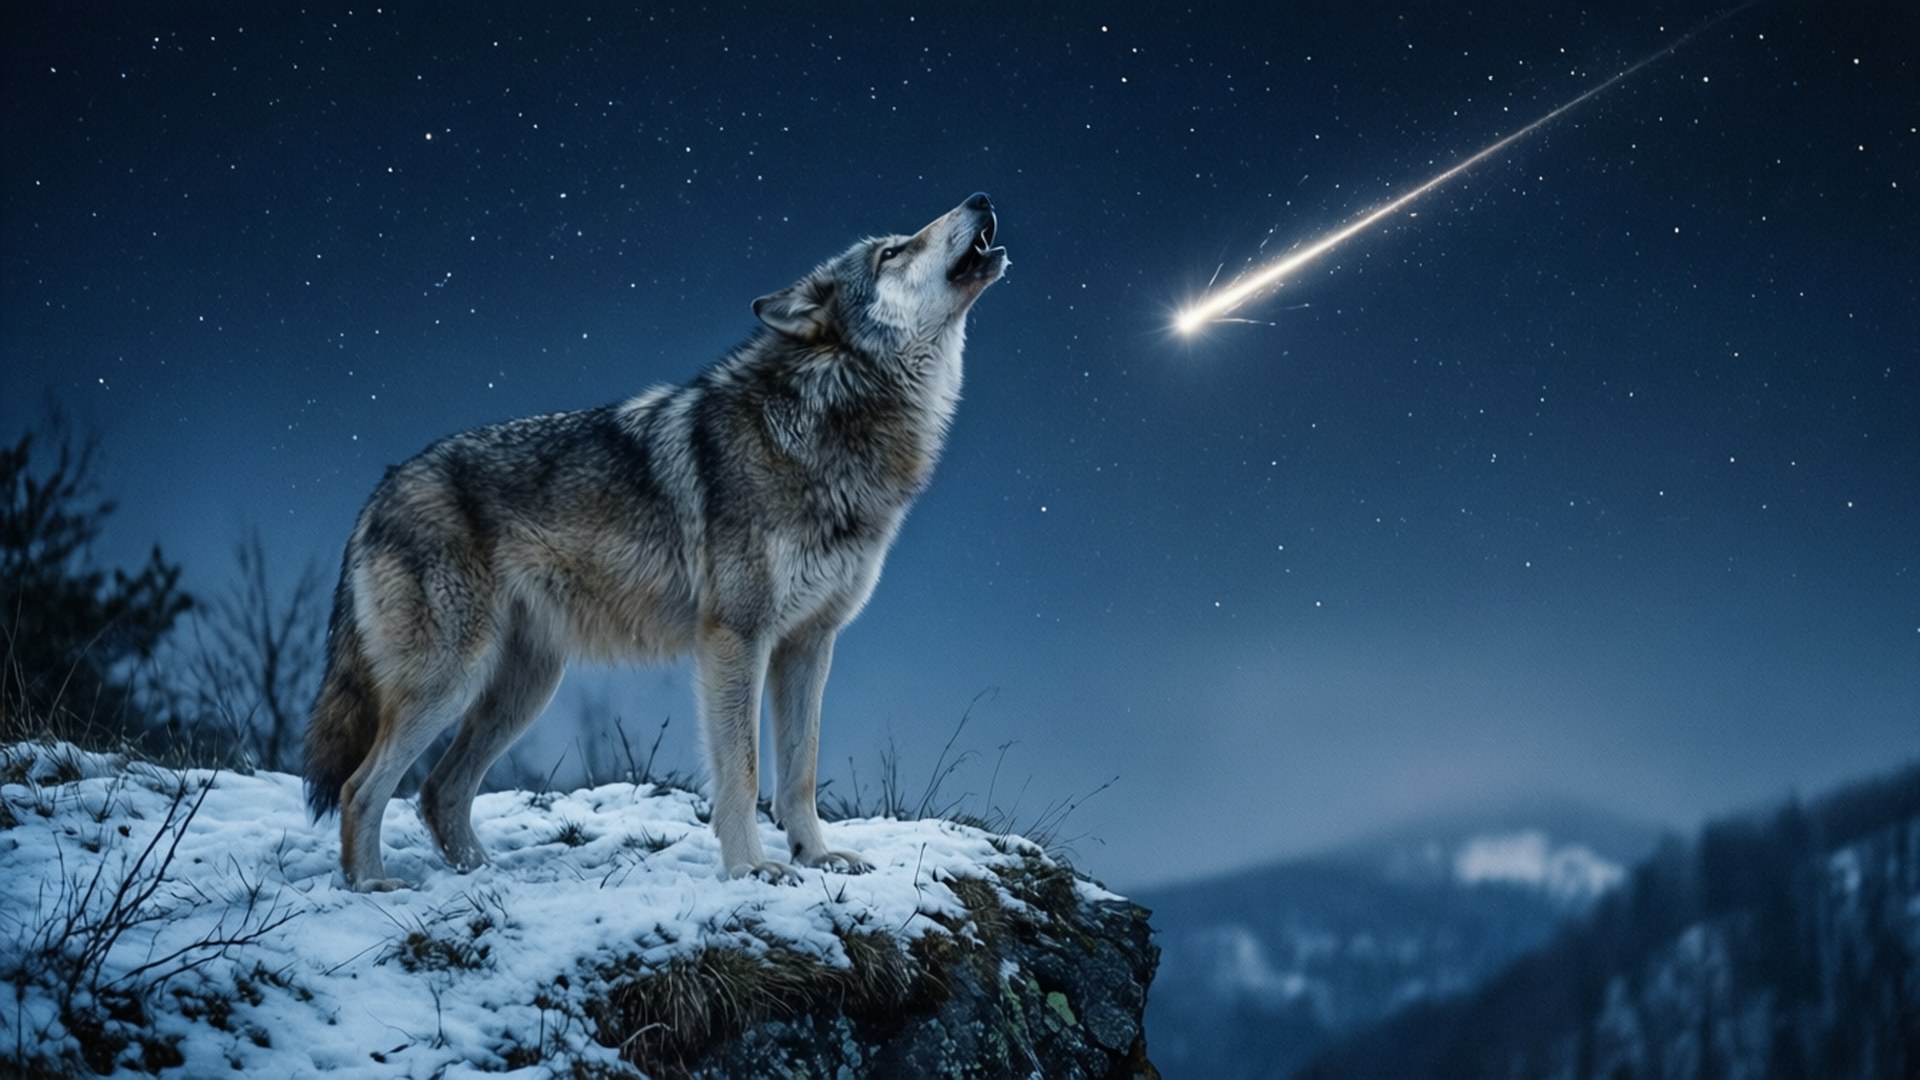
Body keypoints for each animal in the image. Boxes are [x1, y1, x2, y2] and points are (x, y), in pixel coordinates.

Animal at [303, 194, 1006, 891]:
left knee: (439, 792)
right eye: (894, 251)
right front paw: (751, 868)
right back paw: (371, 885)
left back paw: (483, 879)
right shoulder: (736, 637)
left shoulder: (810, 643)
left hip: (525, 689)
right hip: (450, 679)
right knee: (362, 789)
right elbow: (744, 769)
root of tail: (382, 488)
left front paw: (818, 856)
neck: (831, 414)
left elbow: (799, 772)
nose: (980, 199)